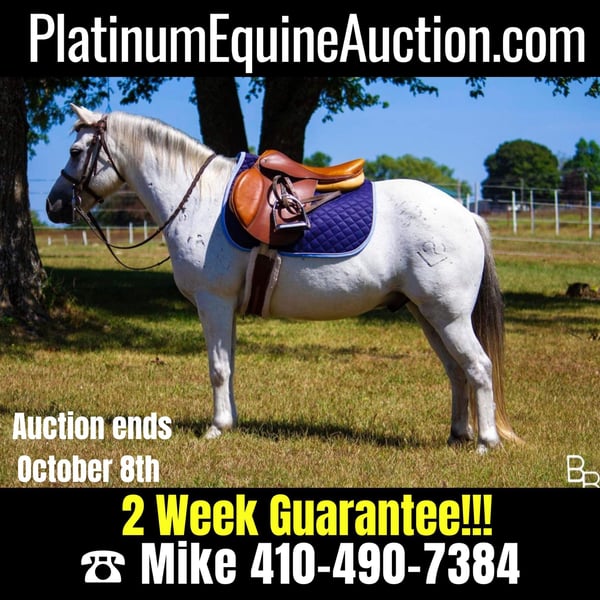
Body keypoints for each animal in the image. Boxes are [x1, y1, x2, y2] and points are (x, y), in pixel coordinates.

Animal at [46, 104, 521, 453]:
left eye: (76, 151)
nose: (53, 205)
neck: (200, 198)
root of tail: (465, 214)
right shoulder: (225, 307)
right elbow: (230, 365)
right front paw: (231, 422)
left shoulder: (213, 301)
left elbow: (217, 368)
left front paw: (216, 428)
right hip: (428, 315)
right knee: (456, 371)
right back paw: (458, 435)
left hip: (448, 316)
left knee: (478, 367)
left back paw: (485, 442)